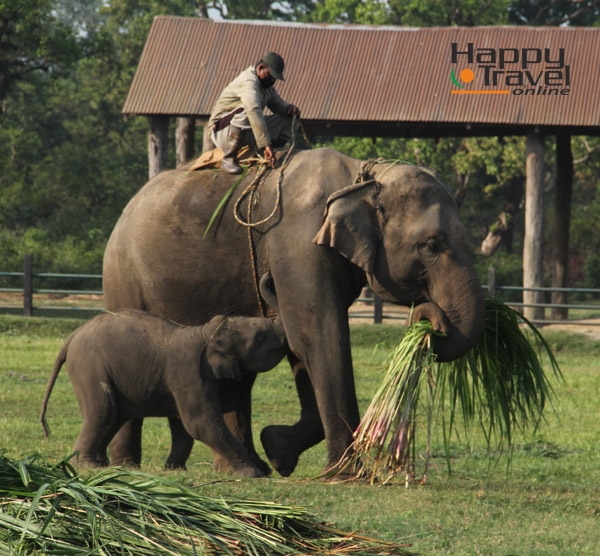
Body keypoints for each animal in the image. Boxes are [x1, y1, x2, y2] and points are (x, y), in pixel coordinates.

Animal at [40, 308, 288, 478]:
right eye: (261, 337)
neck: (206, 332)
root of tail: (72, 337)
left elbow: (182, 425)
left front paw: (175, 470)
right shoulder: (188, 372)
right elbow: (199, 422)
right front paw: (253, 473)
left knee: (114, 415)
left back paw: (99, 464)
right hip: (89, 367)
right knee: (103, 411)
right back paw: (87, 466)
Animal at [103, 148, 486, 478]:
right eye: (431, 246)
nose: (430, 318)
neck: (362, 176)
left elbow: (304, 348)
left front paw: (278, 450)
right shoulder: (297, 246)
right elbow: (318, 337)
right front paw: (344, 474)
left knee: (237, 376)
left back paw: (243, 467)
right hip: (123, 276)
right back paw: (126, 466)